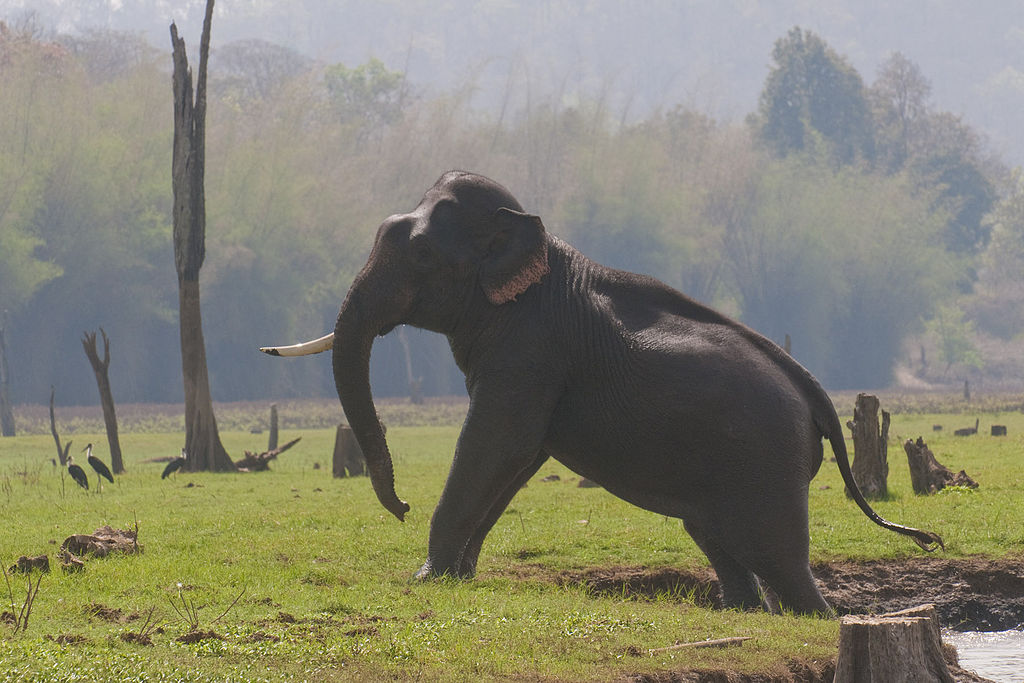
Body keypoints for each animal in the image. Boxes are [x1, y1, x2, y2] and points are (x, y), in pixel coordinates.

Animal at [264, 169, 942, 614]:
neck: (530, 238)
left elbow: (497, 443)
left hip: (766, 462)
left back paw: (809, 618)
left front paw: (426, 580)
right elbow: (517, 457)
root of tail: (816, 398)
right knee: (721, 542)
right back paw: (739, 613)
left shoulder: (531, 347)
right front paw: (457, 578)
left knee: (777, 558)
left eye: (424, 254)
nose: (401, 506)